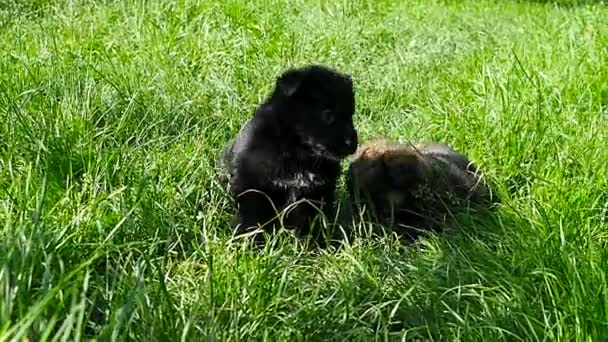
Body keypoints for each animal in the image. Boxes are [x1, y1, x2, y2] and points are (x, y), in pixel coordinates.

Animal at [220, 65, 358, 243]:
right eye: (327, 114)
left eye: (350, 114)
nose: (352, 144)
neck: (297, 152)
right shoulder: (253, 189)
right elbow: (251, 220)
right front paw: (249, 242)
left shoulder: (317, 195)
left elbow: (315, 224)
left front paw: (316, 245)